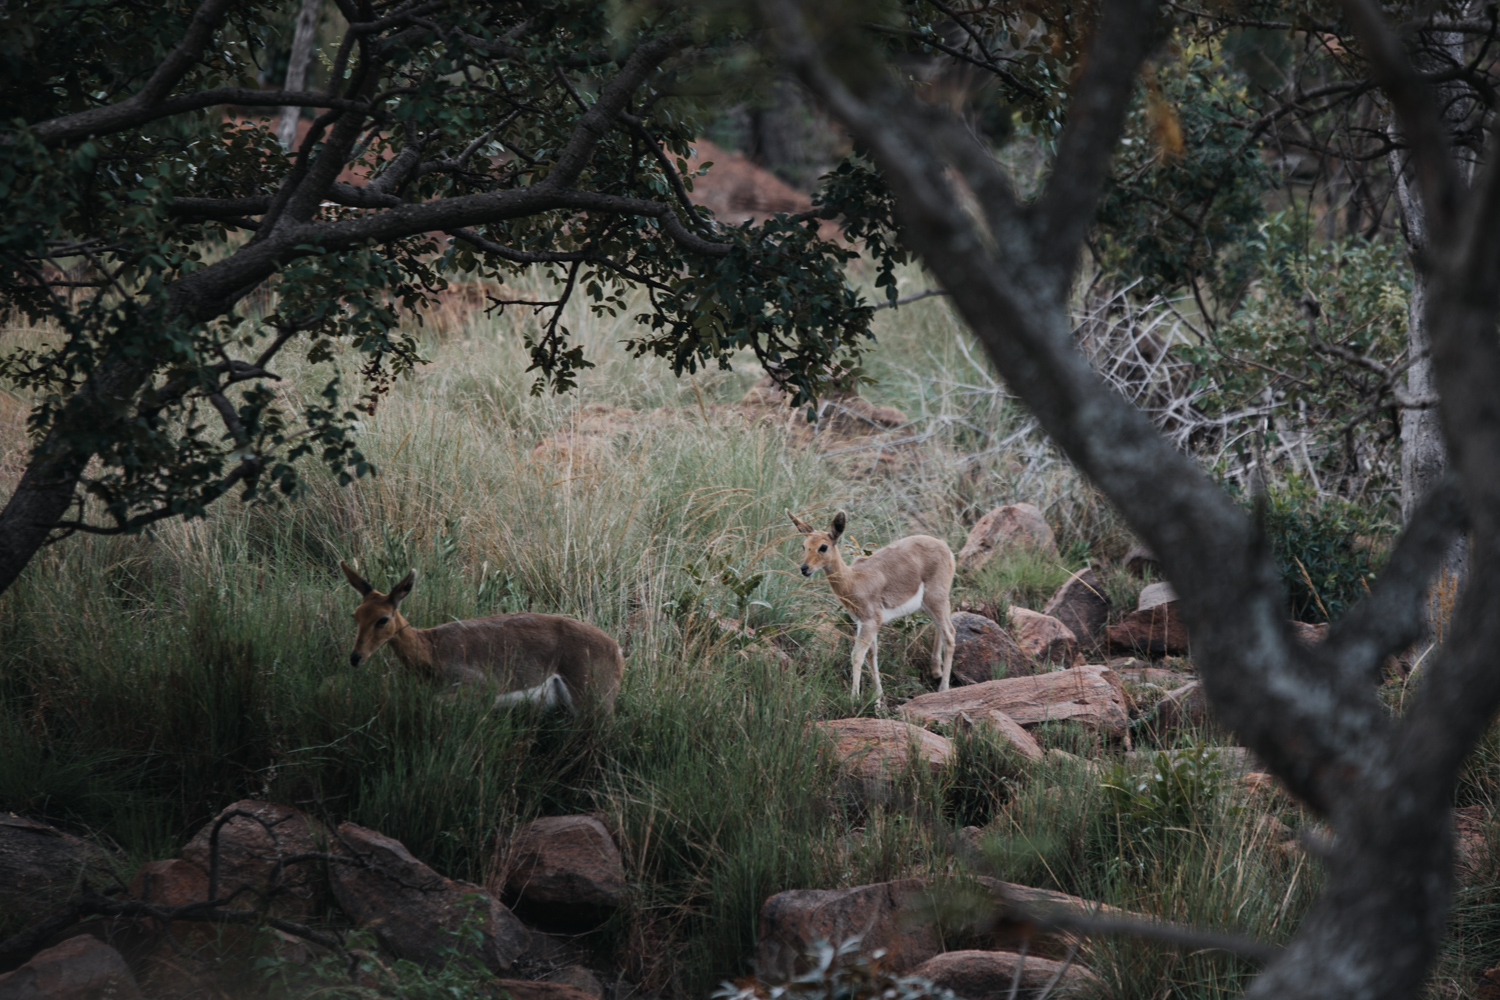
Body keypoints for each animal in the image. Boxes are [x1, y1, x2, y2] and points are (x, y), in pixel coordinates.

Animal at [786, 509, 960, 695]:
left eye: (823, 546)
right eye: (804, 545)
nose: (805, 569)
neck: (853, 580)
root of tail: (946, 548)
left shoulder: (870, 621)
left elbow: (857, 655)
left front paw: (854, 697)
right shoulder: (864, 623)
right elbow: (871, 655)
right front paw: (877, 696)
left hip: (936, 599)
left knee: (950, 634)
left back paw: (943, 687)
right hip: (929, 604)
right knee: (940, 629)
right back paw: (936, 672)